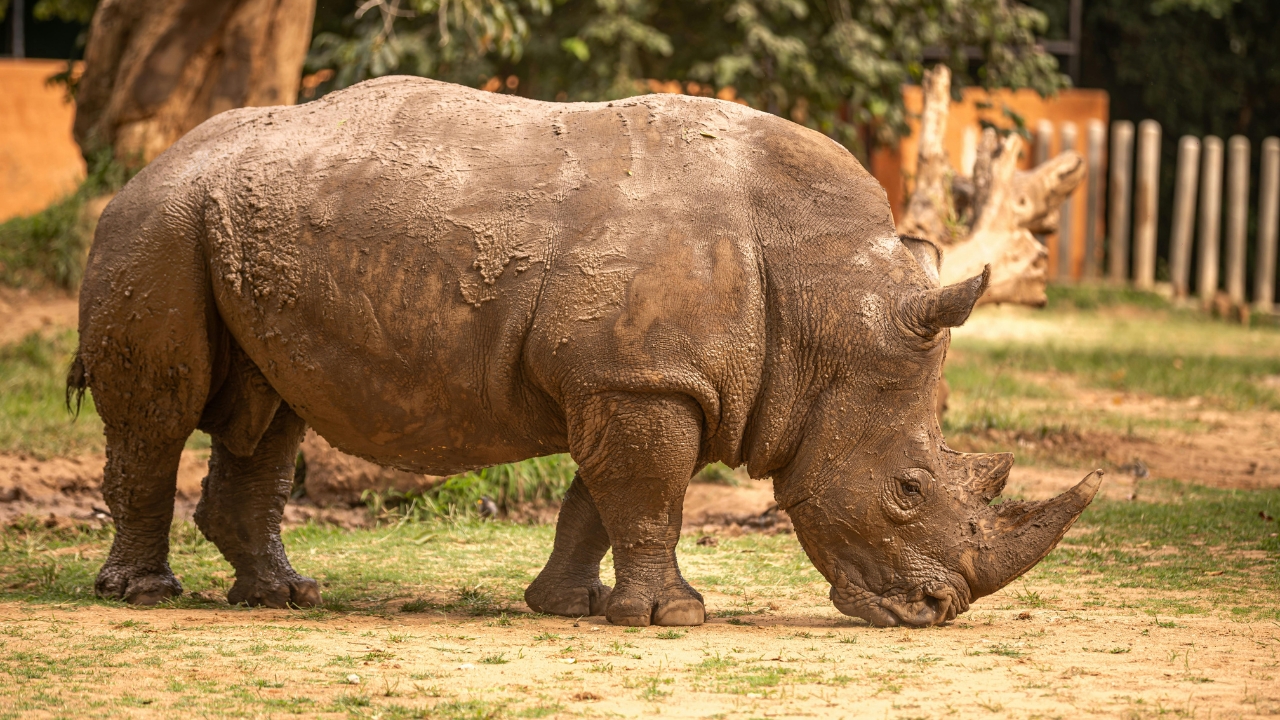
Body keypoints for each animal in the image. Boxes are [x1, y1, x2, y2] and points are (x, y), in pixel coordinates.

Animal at [70, 76, 1101, 627]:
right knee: (160, 414)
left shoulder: (632, 376)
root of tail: (150, 165)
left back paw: (285, 596)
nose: (937, 612)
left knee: (271, 410)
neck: (831, 310)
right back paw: (144, 596)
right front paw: (673, 617)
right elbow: (648, 496)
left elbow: (599, 501)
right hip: (155, 223)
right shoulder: (641, 379)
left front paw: (570, 607)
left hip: (235, 226)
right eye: (908, 490)